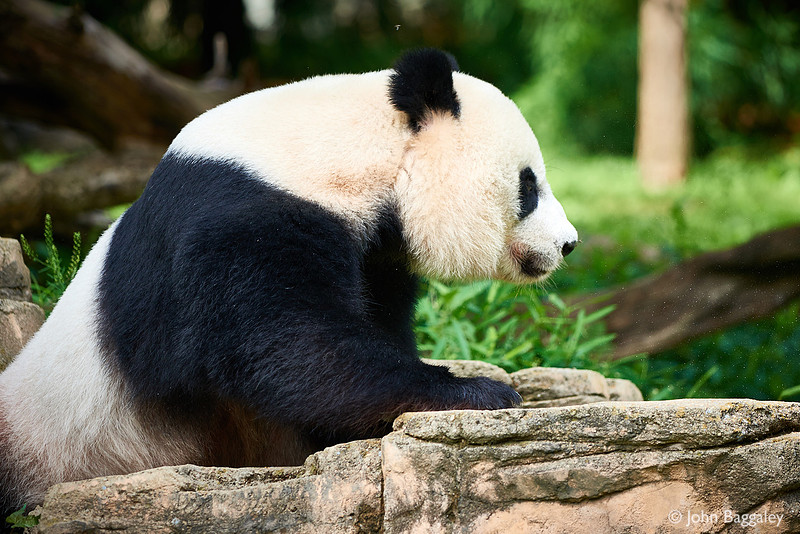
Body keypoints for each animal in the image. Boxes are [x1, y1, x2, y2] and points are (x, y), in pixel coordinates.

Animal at [0, 49, 577, 513]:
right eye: (529, 185)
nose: (568, 243)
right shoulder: (246, 216)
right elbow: (288, 346)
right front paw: (478, 390)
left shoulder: (376, 255)